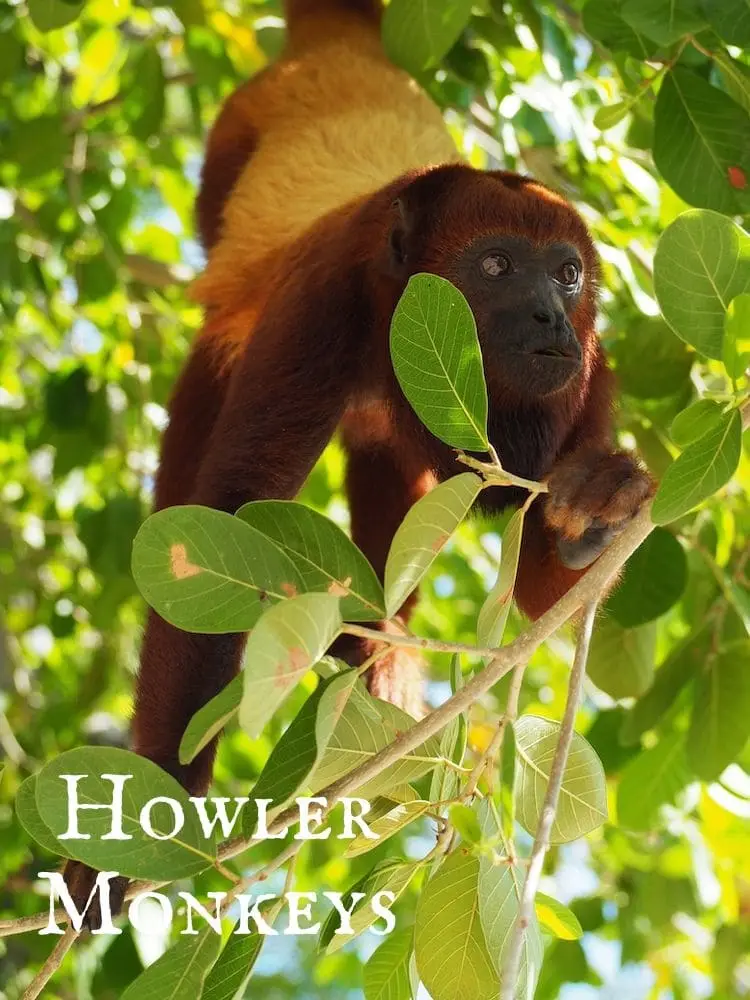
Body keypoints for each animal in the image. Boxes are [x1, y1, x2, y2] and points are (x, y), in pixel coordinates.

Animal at [62, 0, 653, 921]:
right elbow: (223, 522)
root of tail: (341, 47)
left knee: (387, 464)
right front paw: (149, 807)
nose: (553, 317)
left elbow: (541, 584)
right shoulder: (322, 298)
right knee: (214, 375)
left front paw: (592, 513)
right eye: (496, 264)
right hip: (231, 153)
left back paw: (383, 646)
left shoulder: (589, 374)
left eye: (567, 273)